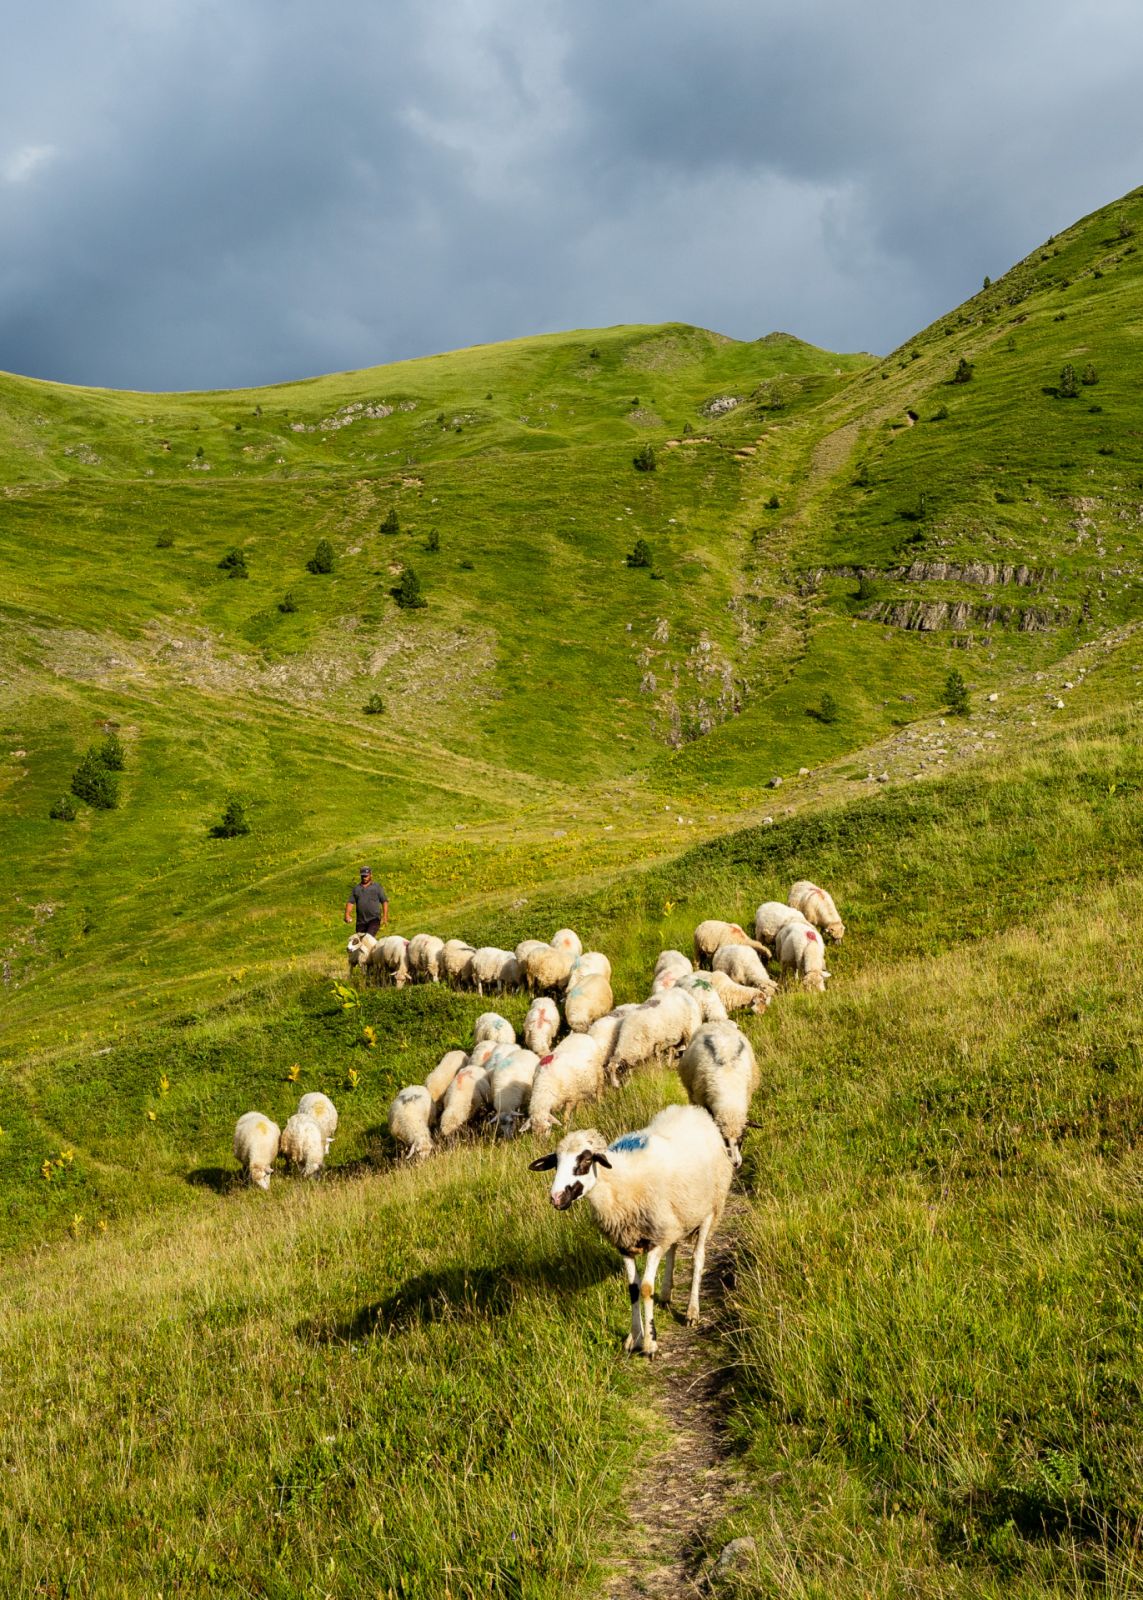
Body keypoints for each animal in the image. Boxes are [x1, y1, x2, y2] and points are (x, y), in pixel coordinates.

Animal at [528, 1107, 729, 1356]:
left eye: (586, 1160)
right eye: (556, 1162)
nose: (556, 1198)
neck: (619, 1184)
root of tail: (692, 1110)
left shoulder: (655, 1241)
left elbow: (645, 1288)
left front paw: (650, 1343)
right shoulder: (624, 1243)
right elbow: (633, 1289)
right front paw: (634, 1338)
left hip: (709, 1210)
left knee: (698, 1258)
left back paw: (692, 1311)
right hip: (675, 1218)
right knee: (673, 1249)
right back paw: (666, 1295)